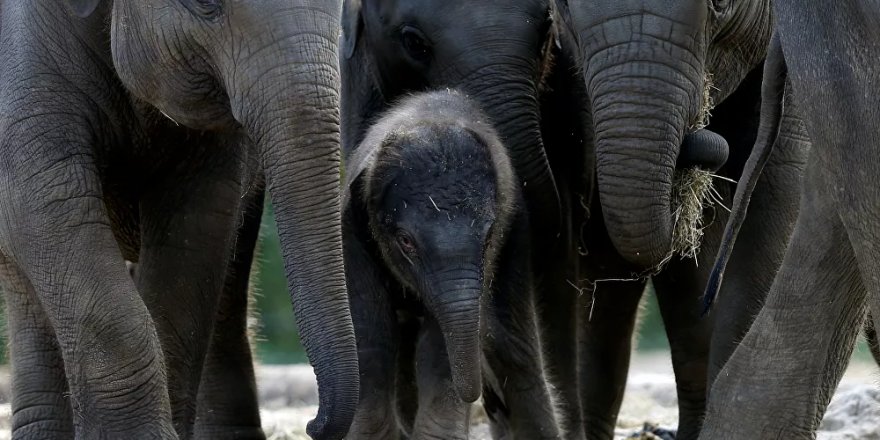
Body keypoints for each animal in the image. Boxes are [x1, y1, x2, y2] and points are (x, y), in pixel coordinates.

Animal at [340, 90, 560, 440]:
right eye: (406, 241)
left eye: (488, 237)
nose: (480, 397)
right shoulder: (351, 229)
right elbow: (371, 333)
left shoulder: (502, 236)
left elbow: (440, 344)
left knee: (514, 346)